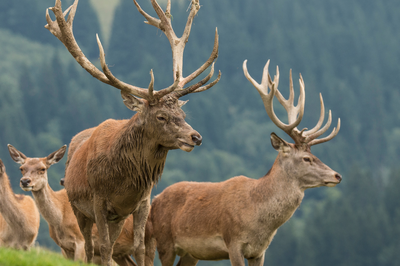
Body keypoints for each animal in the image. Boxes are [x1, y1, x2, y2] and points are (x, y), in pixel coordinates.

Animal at [7, 144, 139, 264]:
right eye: (21, 168)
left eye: (43, 169)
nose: (25, 181)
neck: (61, 218)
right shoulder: (65, 247)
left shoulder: (80, 241)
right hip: (120, 253)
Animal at [145, 60, 342, 266]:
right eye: (306, 158)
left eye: (314, 155)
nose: (337, 175)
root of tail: (155, 200)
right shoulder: (233, 242)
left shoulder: (259, 251)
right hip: (164, 241)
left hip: (191, 253)